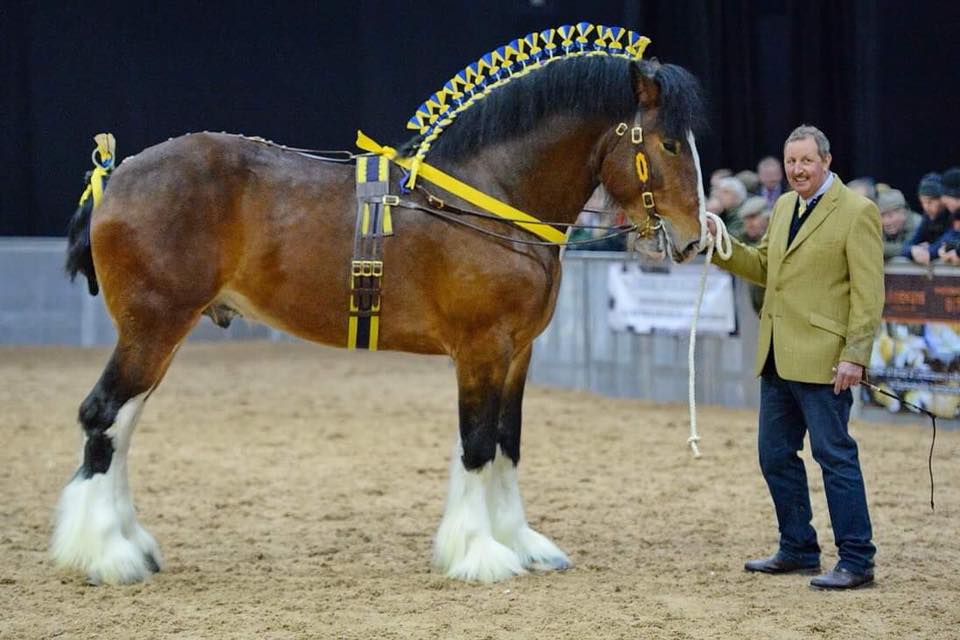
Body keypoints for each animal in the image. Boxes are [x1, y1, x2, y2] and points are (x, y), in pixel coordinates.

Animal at [56, 45, 708, 584]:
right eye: (670, 144)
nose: (694, 240)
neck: (490, 198)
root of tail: (115, 179)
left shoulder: (518, 352)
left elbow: (506, 443)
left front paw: (520, 543)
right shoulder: (481, 349)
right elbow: (477, 445)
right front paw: (480, 553)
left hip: (158, 334)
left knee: (121, 425)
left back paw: (129, 546)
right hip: (153, 328)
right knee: (102, 415)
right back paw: (106, 555)